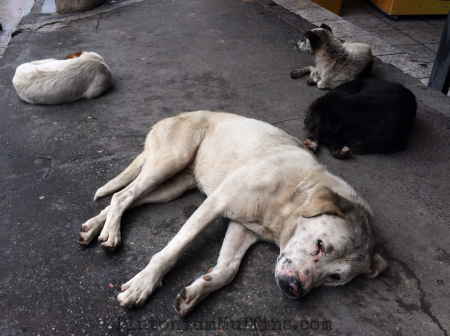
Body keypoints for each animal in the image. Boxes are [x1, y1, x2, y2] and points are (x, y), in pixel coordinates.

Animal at [77, 110, 386, 316]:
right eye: (321, 245)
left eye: (335, 278)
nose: (294, 288)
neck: (293, 197)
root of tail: (171, 117)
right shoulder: (216, 203)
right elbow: (171, 252)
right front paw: (144, 283)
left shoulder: (243, 228)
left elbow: (228, 270)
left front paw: (198, 291)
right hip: (170, 162)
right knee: (124, 195)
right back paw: (111, 232)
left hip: (172, 186)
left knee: (125, 199)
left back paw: (96, 227)